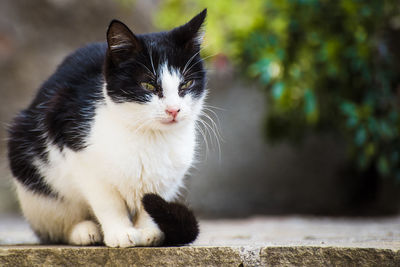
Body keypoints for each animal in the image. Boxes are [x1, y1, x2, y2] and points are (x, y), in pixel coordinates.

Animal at [7, 8, 208, 248]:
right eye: (148, 85)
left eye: (186, 84)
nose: (173, 110)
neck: (149, 135)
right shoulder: (75, 148)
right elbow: (108, 202)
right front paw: (121, 232)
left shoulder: (167, 178)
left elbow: (151, 202)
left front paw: (148, 231)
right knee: (54, 223)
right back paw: (83, 231)